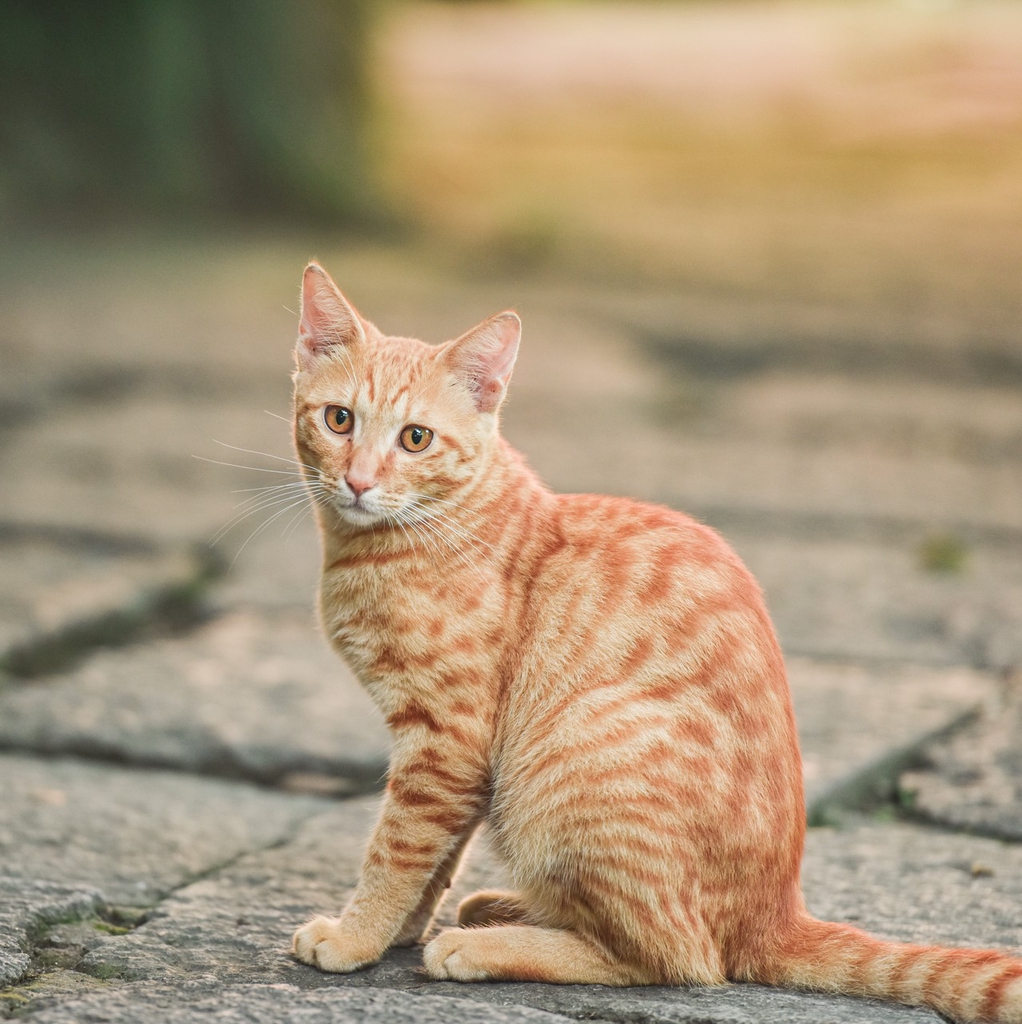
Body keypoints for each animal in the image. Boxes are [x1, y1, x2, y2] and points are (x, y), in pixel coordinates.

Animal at [290, 264, 1022, 1024]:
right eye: (338, 419)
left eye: (415, 438)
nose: (358, 481)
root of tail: (777, 914)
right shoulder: (459, 762)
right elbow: (438, 858)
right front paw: (399, 930)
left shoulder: (445, 740)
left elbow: (398, 851)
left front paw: (357, 937)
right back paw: (505, 910)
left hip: (570, 764)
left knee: (678, 959)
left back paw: (484, 944)